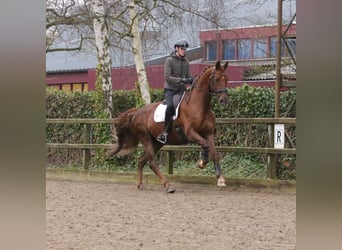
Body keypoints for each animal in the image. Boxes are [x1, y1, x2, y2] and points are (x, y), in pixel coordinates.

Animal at [108, 59, 228, 192]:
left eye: (226, 79)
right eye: (216, 79)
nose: (224, 100)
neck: (199, 106)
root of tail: (137, 112)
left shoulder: (209, 133)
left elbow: (214, 152)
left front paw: (220, 178)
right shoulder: (190, 133)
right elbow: (205, 145)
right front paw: (202, 162)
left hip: (157, 143)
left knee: (141, 161)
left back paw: (140, 184)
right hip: (146, 139)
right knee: (152, 162)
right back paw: (168, 185)